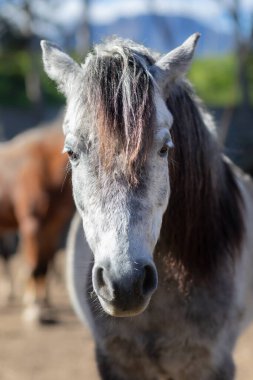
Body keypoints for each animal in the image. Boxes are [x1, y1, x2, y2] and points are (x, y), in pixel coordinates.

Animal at [0, 120, 74, 322]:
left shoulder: (52, 227)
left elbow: (44, 265)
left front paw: (45, 306)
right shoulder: (32, 225)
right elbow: (34, 266)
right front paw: (34, 309)